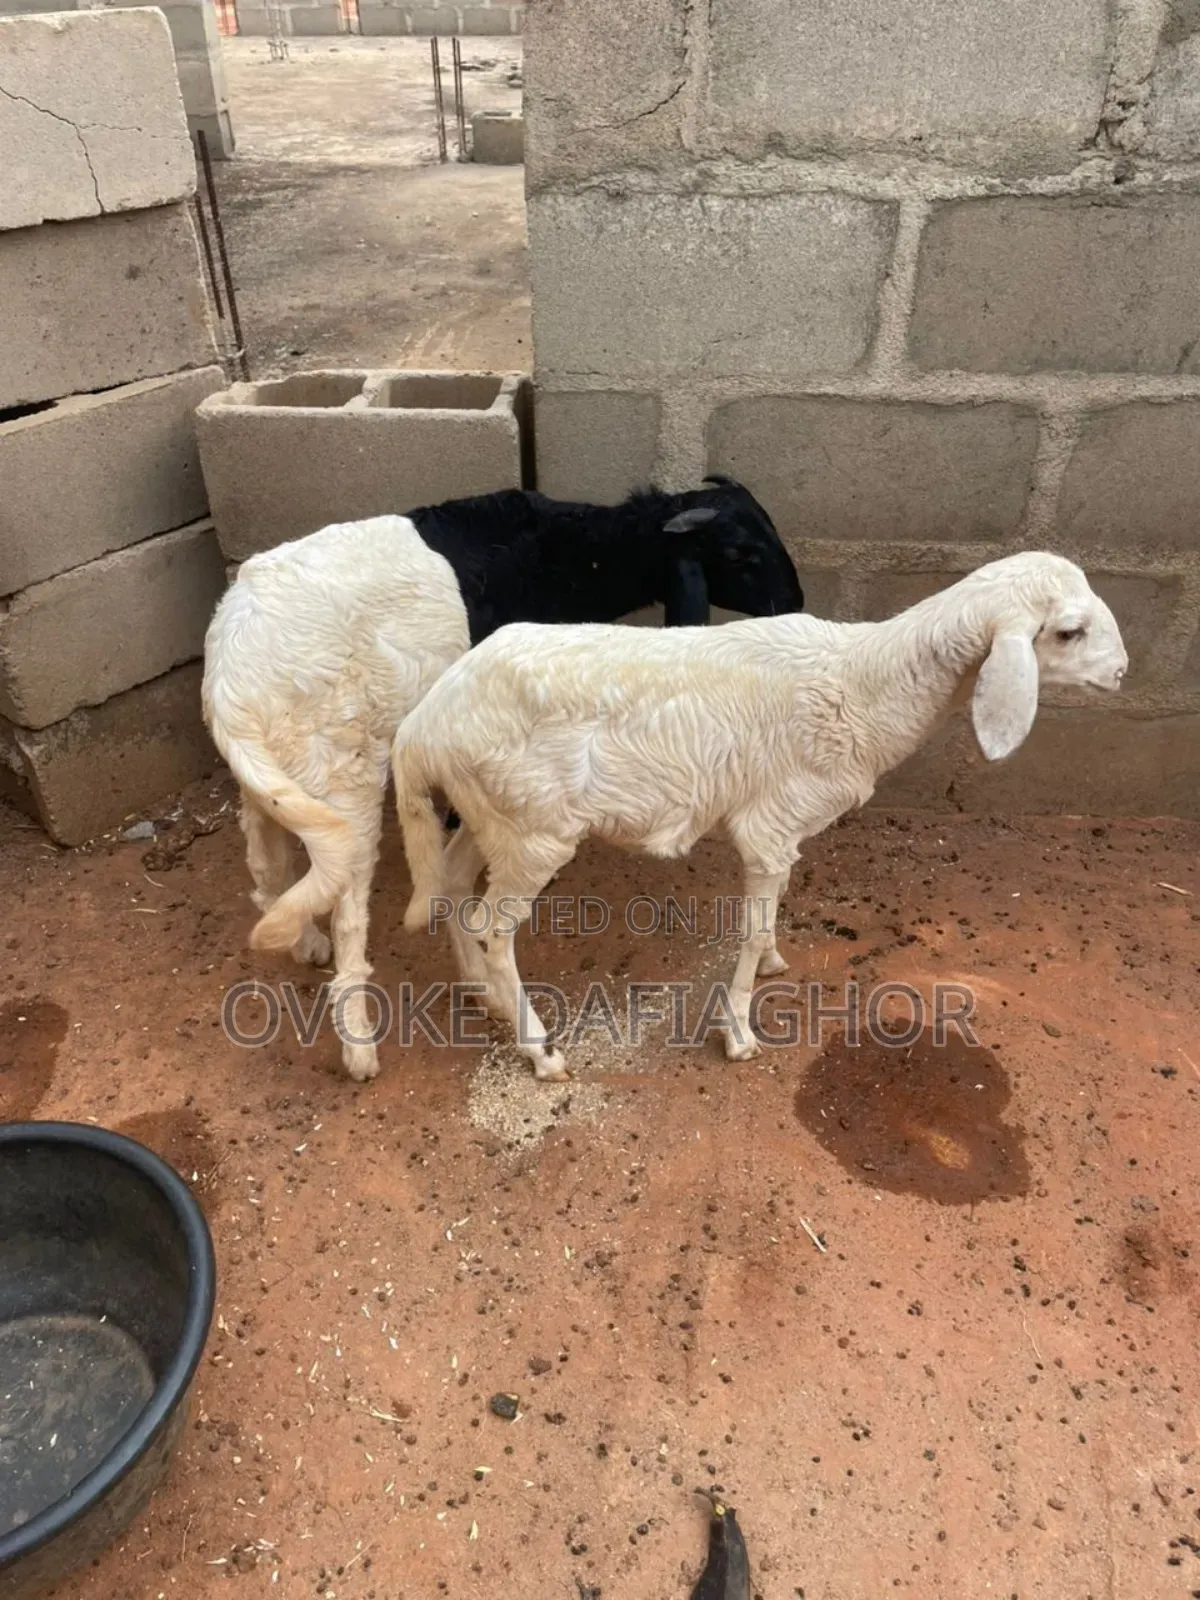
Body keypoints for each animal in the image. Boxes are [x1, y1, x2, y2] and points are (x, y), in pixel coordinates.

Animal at [202, 478, 804, 1082]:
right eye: (742, 555)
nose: (796, 605)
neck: (561, 551)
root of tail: (231, 675)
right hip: (344, 765)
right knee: (347, 899)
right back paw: (361, 1047)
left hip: (280, 773)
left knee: (267, 859)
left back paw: (305, 939)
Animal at [392, 551, 1128, 1082]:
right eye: (1068, 632)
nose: (1122, 673)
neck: (864, 686)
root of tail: (423, 726)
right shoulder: (770, 824)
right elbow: (746, 931)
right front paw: (739, 1032)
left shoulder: (783, 832)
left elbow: (770, 916)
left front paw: (774, 960)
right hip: (533, 829)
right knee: (492, 926)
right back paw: (538, 1049)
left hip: (492, 817)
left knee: (451, 886)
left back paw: (481, 994)